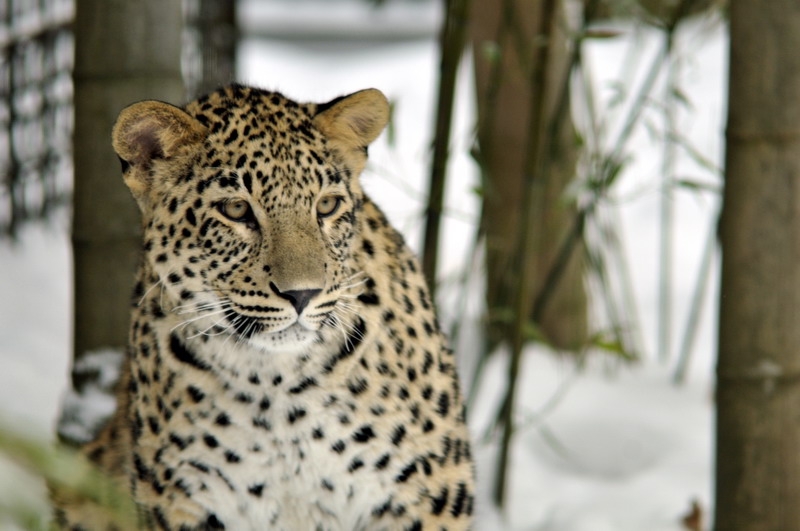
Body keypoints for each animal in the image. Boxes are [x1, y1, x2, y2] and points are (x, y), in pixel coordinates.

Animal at [53, 84, 475, 530]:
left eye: (327, 206)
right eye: (236, 210)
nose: (303, 294)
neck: (280, 389)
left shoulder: (427, 493)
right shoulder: (186, 504)